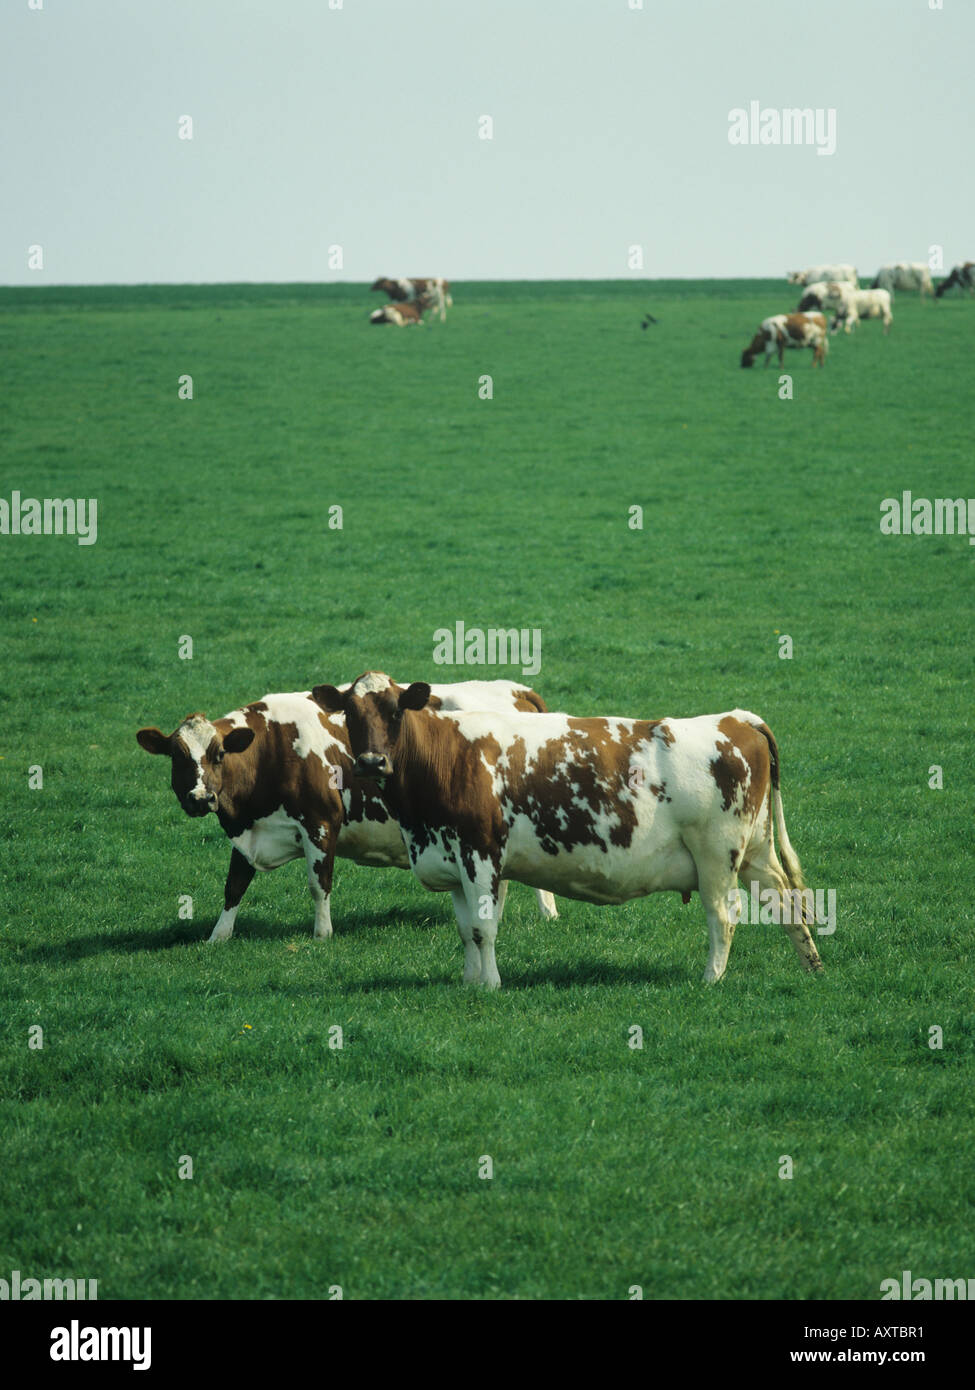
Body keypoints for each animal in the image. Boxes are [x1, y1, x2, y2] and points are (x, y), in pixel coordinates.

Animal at [136, 678, 558, 943]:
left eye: (218, 754)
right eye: (177, 757)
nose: (200, 798)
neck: (274, 746)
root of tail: (513, 688)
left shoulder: (322, 822)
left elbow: (318, 882)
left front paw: (322, 934)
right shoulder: (247, 832)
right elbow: (234, 885)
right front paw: (218, 937)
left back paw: (545, 913)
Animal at [311, 673, 824, 989]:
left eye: (395, 711)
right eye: (351, 715)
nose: (371, 762)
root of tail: (736, 718)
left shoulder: (481, 853)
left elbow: (483, 927)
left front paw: (490, 985)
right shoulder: (452, 858)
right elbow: (465, 929)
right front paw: (469, 981)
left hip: (717, 853)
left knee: (724, 915)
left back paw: (711, 979)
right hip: (756, 849)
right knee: (784, 898)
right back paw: (811, 965)